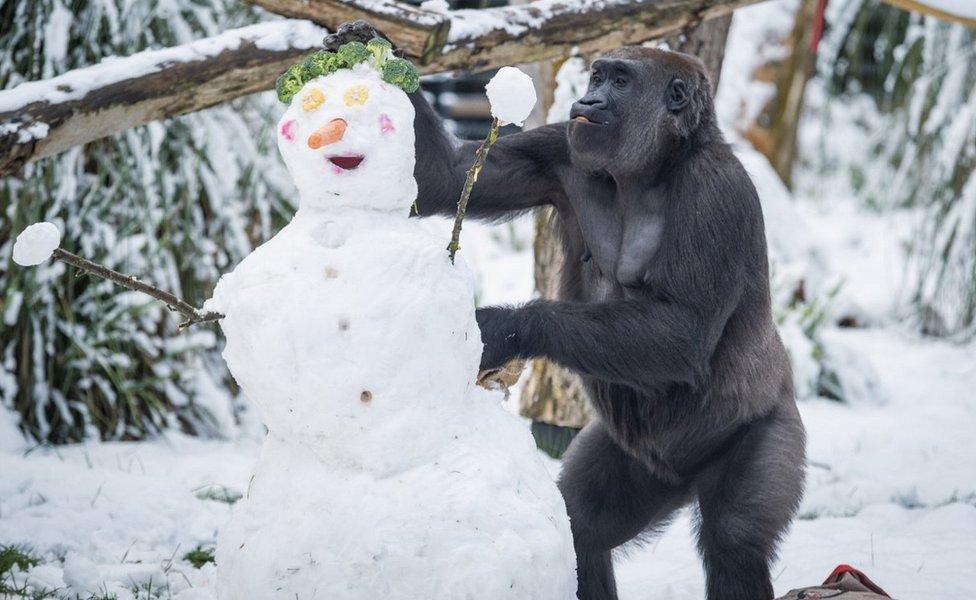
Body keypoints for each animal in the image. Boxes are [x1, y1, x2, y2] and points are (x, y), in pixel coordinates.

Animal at [328, 22, 808, 600]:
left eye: (620, 81)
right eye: (598, 77)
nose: (589, 98)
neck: (656, 165)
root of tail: (681, 478)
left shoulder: (717, 192)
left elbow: (684, 330)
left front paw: (506, 328)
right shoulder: (558, 148)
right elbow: (446, 175)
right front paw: (368, 44)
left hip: (767, 428)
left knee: (736, 541)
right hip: (637, 462)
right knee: (581, 525)